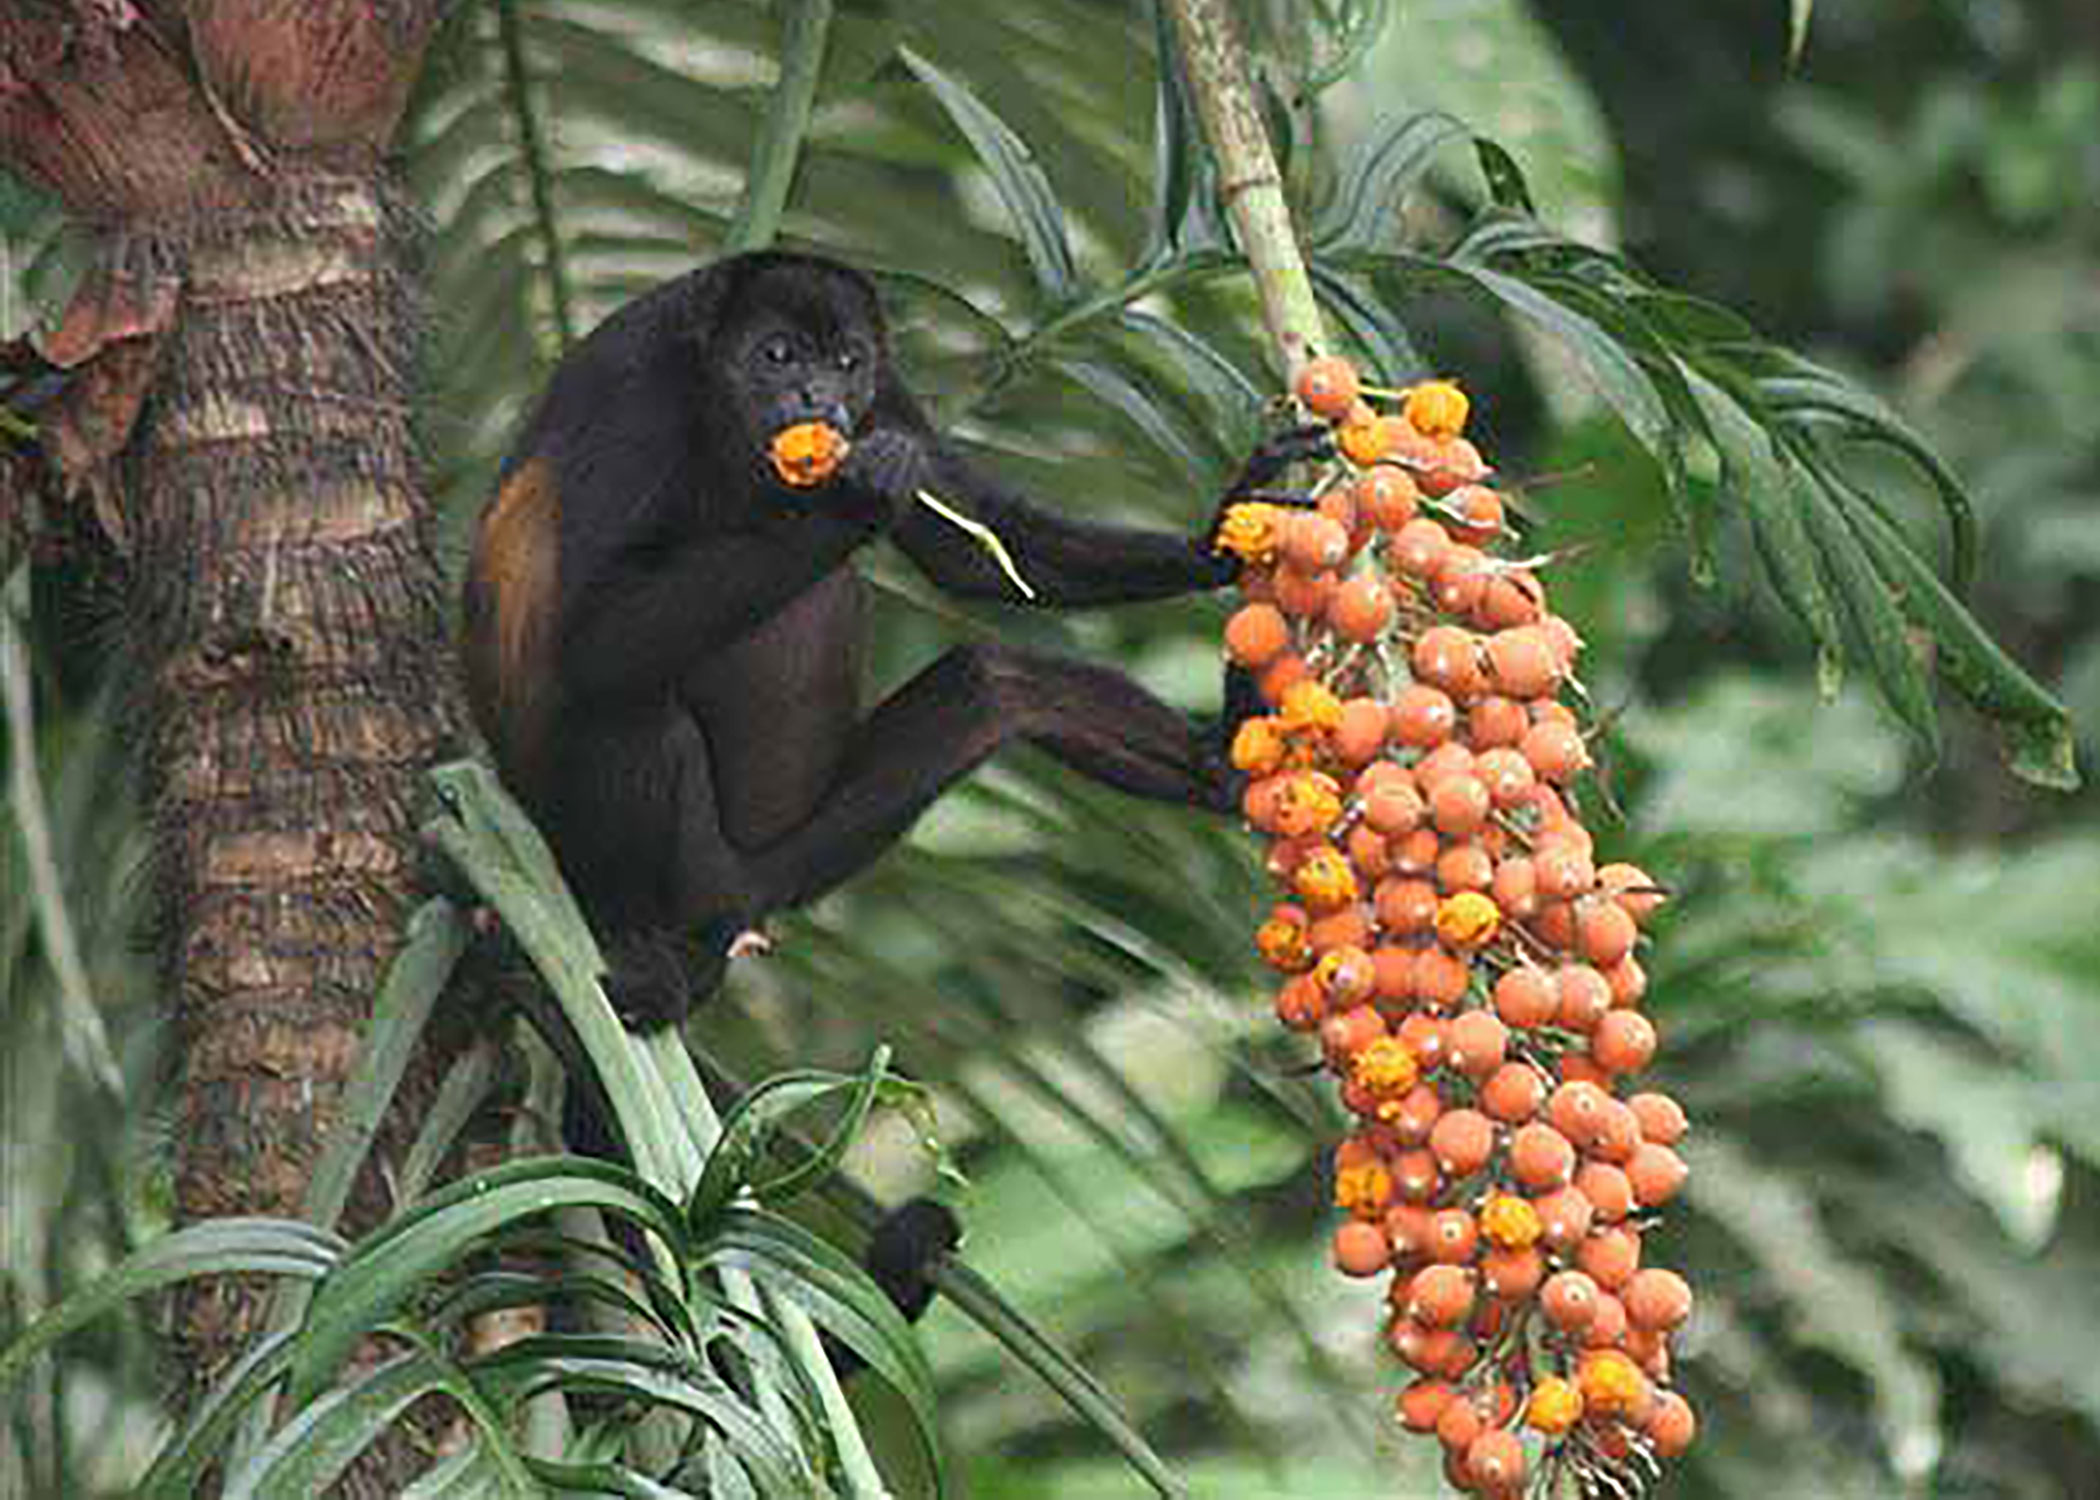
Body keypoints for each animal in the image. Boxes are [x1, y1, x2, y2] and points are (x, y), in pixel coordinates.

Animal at [462, 249, 1319, 1032]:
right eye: (777, 355)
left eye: (847, 362)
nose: (821, 398)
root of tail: (734, 907)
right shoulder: (634, 395)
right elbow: (594, 637)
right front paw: (856, 499)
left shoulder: (888, 396)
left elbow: (982, 548)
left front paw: (1222, 536)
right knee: (625, 706)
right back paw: (642, 948)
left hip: (791, 862)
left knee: (999, 684)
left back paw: (1221, 770)